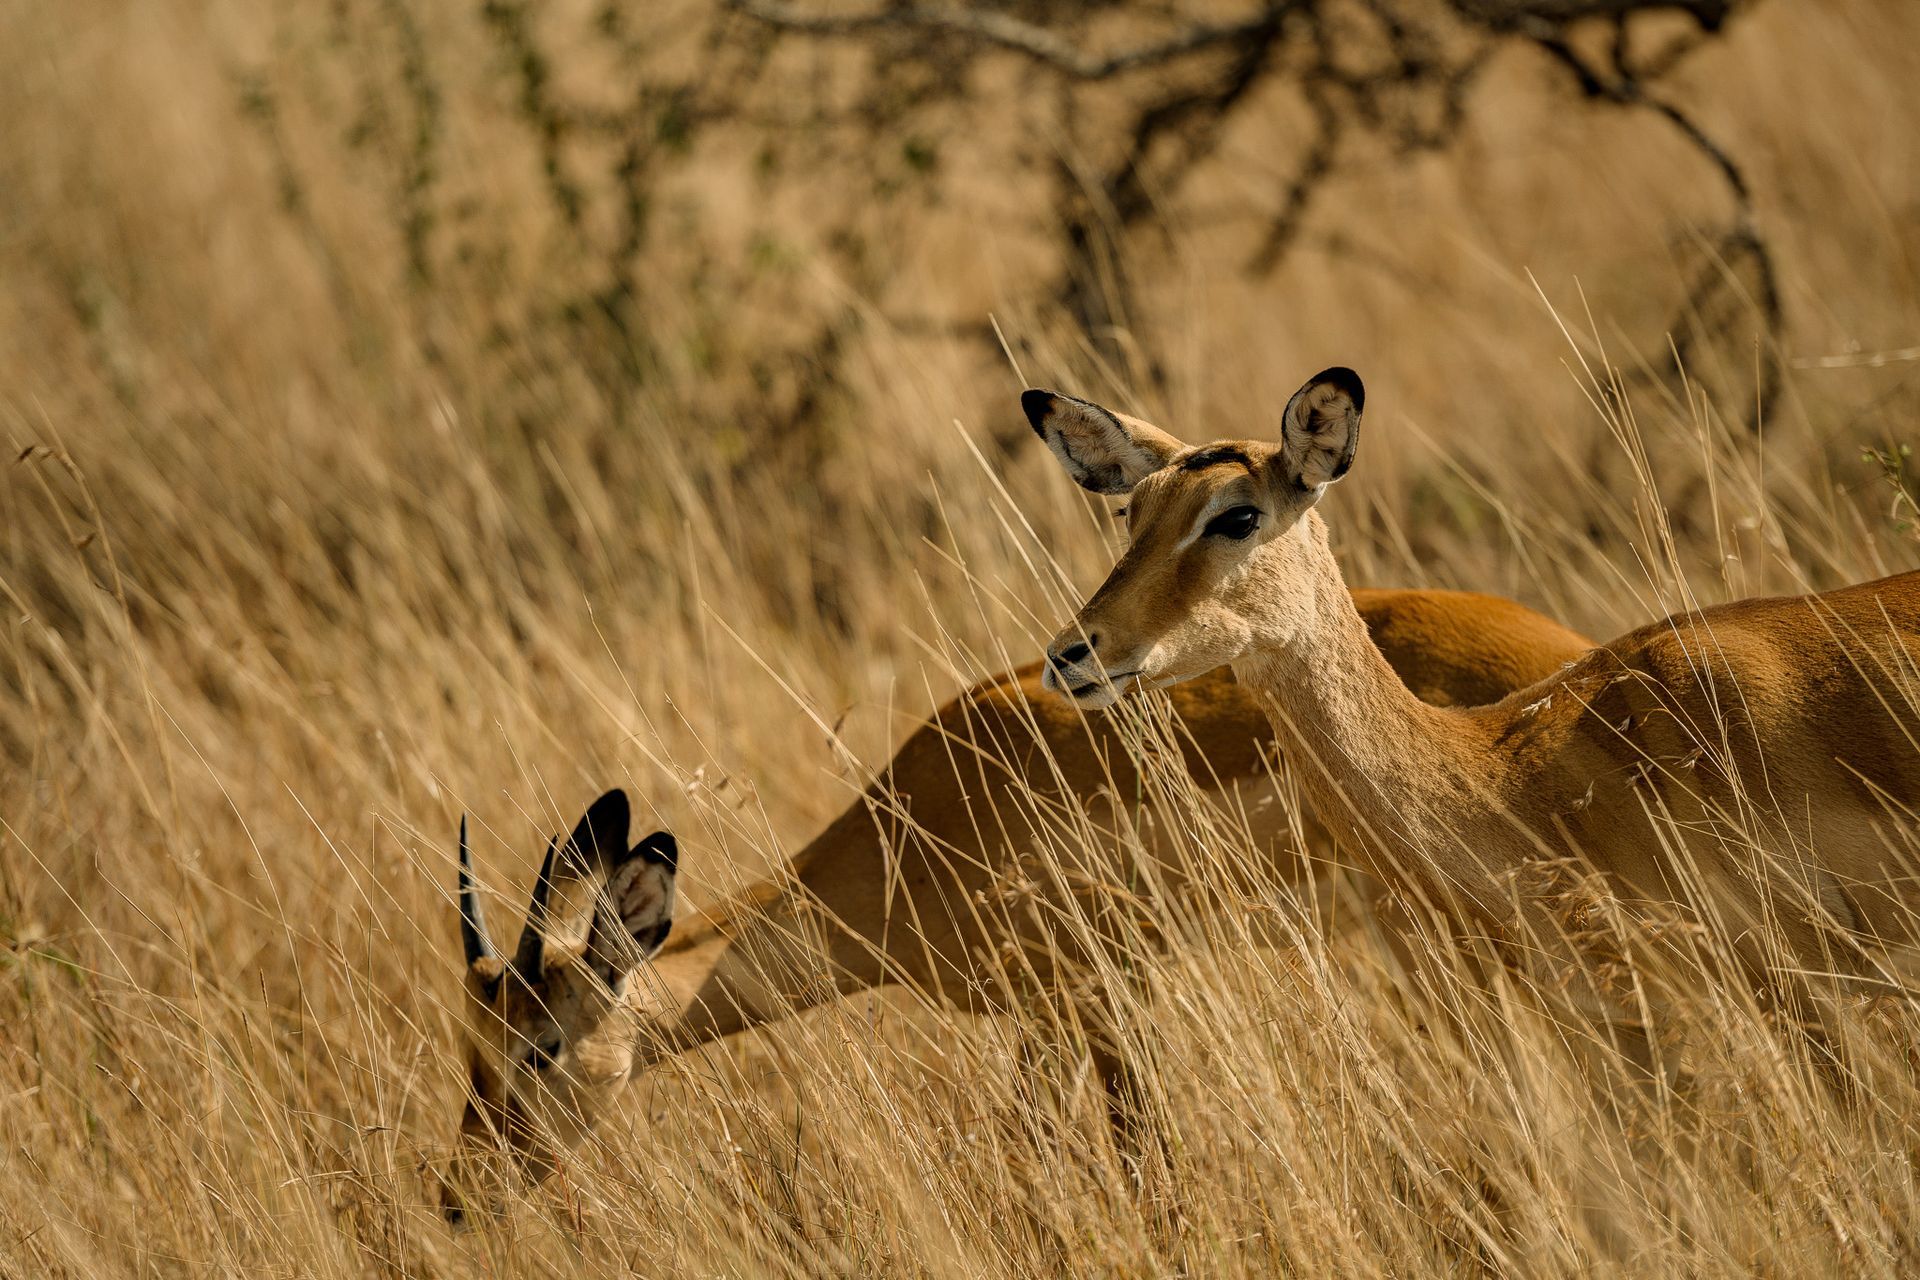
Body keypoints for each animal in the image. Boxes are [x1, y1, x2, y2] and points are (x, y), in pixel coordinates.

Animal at [440, 534, 1593, 1226]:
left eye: (539, 1048)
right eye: (472, 1051)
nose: (458, 1198)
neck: (908, 834)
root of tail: (1565, 656)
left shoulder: (1095, 987)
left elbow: (1140, 1159)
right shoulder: (1042, 1015)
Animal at [1025, 367, 1920, 1069]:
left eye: (1236, 515)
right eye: (1131, 513)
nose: (1073, 654)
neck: (1519, 772)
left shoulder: (1815, 989)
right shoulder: (1620, 1021)